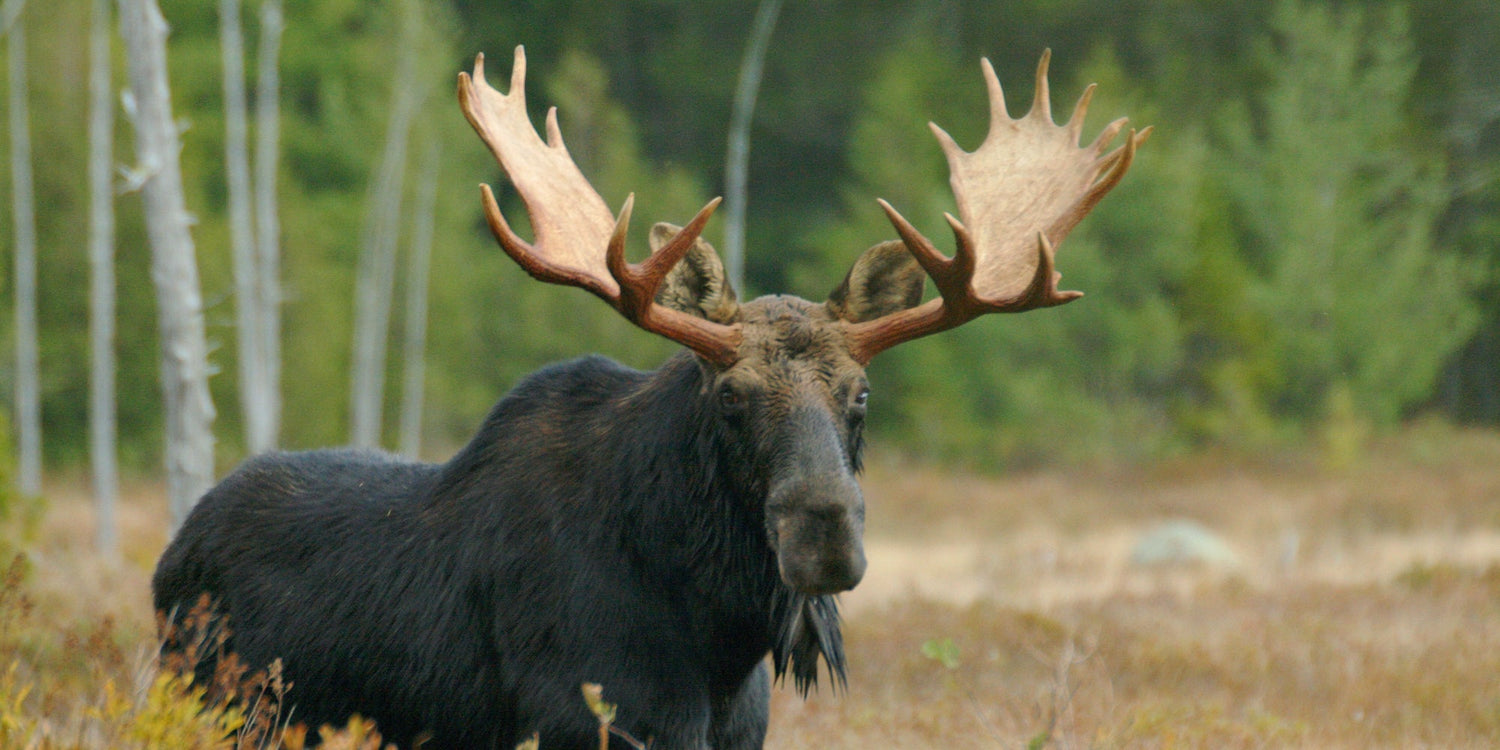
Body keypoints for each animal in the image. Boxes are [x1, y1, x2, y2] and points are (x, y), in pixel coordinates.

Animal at [152, 45, 1147, 749]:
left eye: (862, 395)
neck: (715, 641)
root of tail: (172, 555)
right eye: (730, 398)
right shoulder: (582, 721)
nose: (823, 534)